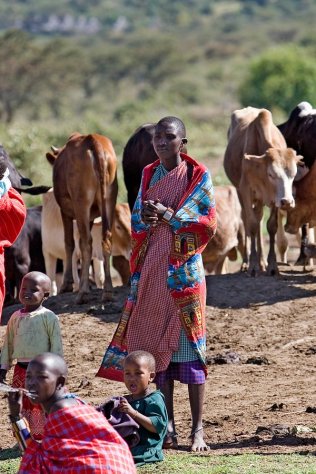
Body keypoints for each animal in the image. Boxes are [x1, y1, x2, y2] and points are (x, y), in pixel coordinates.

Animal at [45, 132, 117, 304]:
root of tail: (93, 140)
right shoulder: (90, 217)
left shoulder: (65, 211)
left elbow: (69, 243)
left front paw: (67, 284)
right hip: (109, 200)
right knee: (106, 239)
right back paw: (107, 291)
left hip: (81, 203)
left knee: (86, 242)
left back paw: (83, 293)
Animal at [223, 106, 302, 278]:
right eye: (271, 174)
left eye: (293, 174)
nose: (288, 201)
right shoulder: (246, 190)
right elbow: (252, 225)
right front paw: (252, 265)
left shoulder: (274, 199)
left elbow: (271, 226)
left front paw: (272, 265)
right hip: (242, 194)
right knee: (248, 221)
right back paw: (247, 262)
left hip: (260, 200)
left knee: (259, 219)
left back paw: (262, 261)